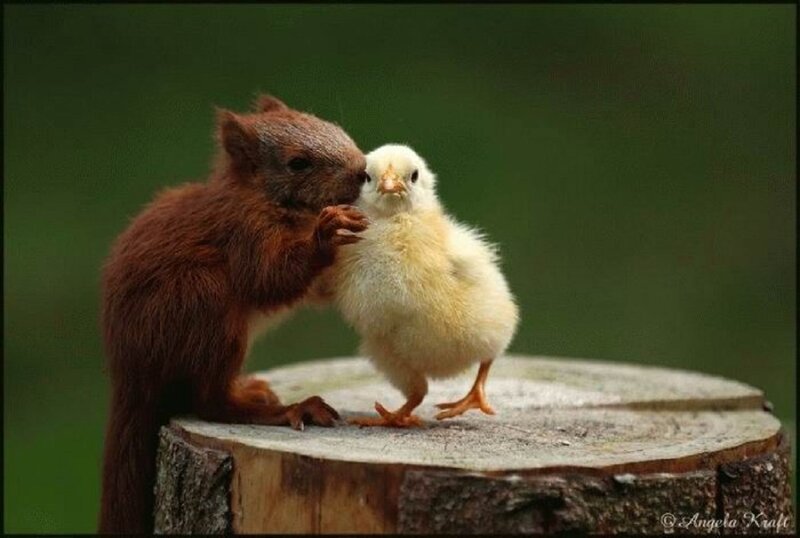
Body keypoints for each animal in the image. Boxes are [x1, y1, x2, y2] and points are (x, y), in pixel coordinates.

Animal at [98, 95, 369, 534]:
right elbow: (270, 278)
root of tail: (131, 372)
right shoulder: (244, 233)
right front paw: (326, 234)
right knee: (210, 403)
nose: (363, 171)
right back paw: (285, 409)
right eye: (297, 163)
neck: (266, 199)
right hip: (204, 304)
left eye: (333, 126)